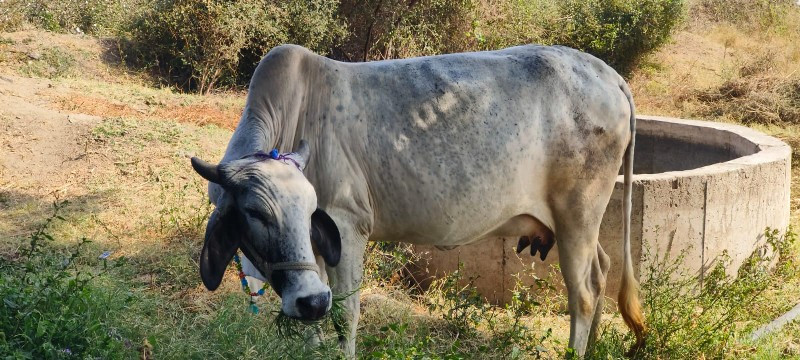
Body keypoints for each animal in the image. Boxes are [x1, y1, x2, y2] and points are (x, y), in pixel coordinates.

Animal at [191, 43, 648, 356]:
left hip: (578, 213)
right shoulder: (315, 259)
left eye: (307, 208)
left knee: (584, 292)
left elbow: (345, 313)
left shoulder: (348, 224)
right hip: (578, 223)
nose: (310, 299)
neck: (295, 110)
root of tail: (609, 74)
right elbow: (315, 321)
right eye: (254, 213)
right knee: (602, 271)